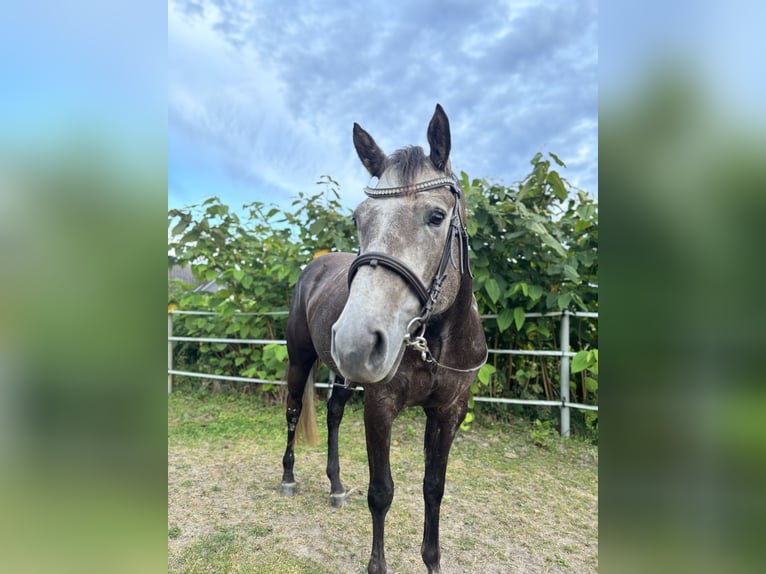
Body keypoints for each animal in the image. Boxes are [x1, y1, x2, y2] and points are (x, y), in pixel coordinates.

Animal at [279, 104, 487, 574]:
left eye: (436, 216)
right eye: (359, 219)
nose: (356, 339)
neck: (434, 344)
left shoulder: (449, 412)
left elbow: (433, 488)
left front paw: (432, 561)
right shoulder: (381, 406)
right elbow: (382, 493)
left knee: (334, 414)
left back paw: (336, 485)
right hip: (300, 361)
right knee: (293, 411)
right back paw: (288, 477)